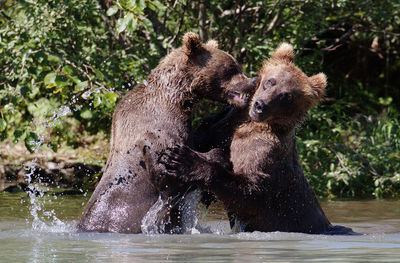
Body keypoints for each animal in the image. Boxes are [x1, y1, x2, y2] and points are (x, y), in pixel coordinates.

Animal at [76, 32, 255, 234]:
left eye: (236, 65)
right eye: (231, 68)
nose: (252, 81)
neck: (177, 98)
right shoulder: (158, 130)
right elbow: (168, 176)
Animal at [161, 43, 354, 235]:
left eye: (287, 96)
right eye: (270, 81)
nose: (260, 105)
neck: (245, 122)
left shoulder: (263, 151)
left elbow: (252, 192)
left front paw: (182, 159)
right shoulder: (219, 128)